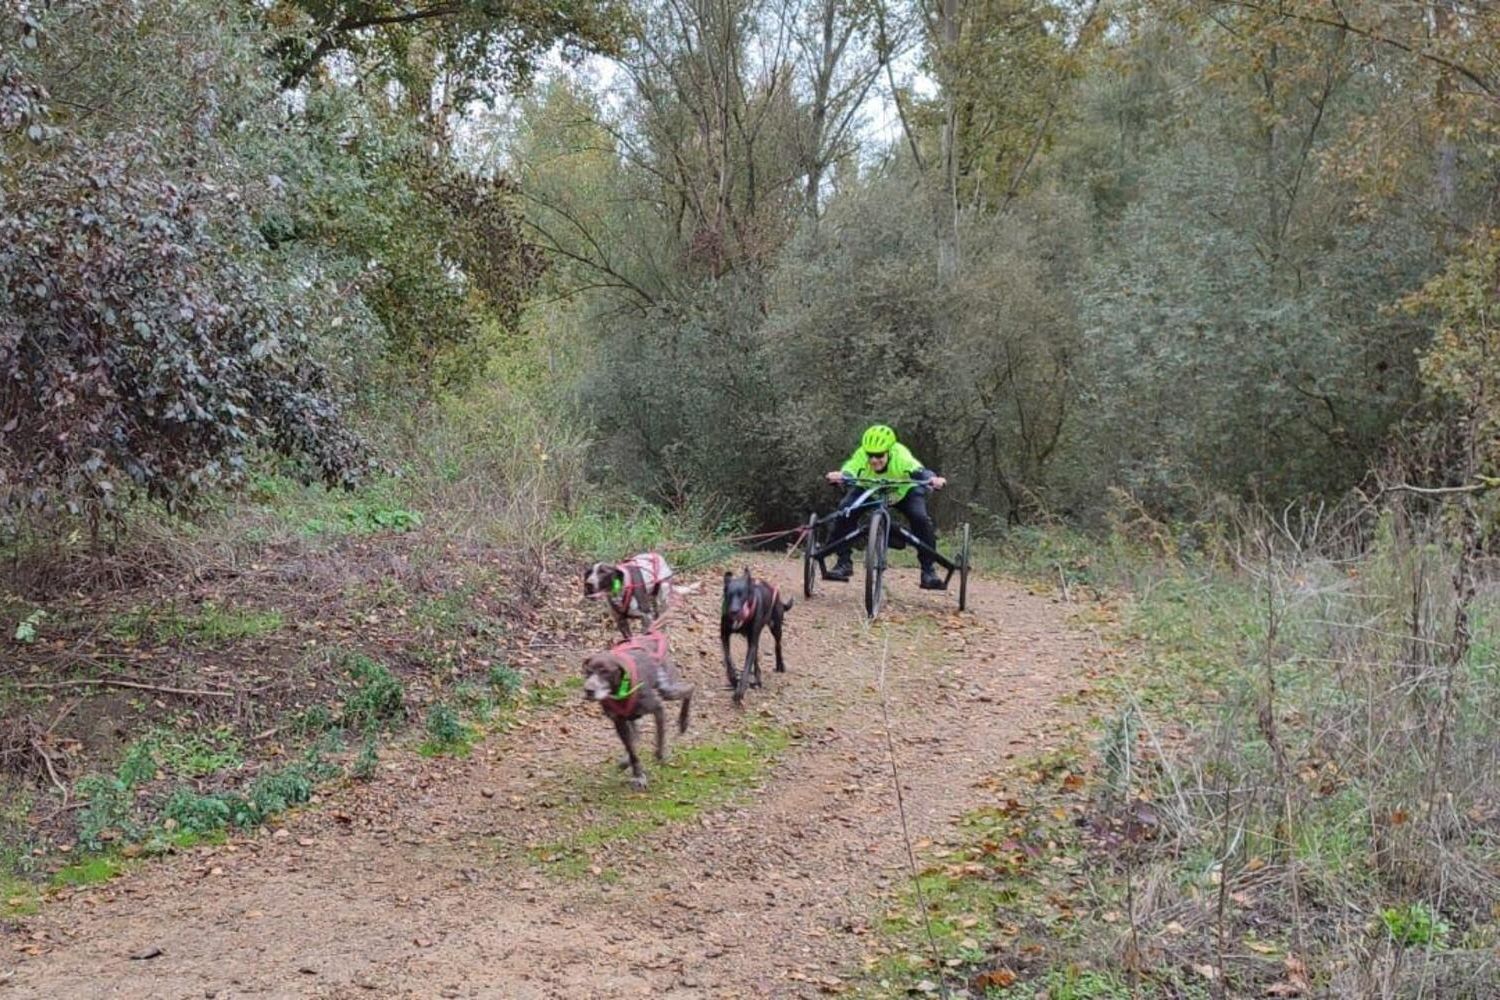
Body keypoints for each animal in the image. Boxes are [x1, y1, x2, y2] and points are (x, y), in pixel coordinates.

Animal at [582, 632, 693, 791]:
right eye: (588, 672)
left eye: (605, 672)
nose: (588, 690)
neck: (620, 692)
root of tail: (650, 636)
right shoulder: (619, 722)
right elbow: (632, 751)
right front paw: (638, 775)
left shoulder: (658, 708)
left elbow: (660, 738)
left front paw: (660, 756)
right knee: (636, 736)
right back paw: (625, 760)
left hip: (667, 690)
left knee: (690, 688)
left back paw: (684, 722)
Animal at [717, 566, 792, 707]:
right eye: (728, 595)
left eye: (742, 595)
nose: (734, 611)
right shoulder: (725, 636)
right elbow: (728, 658)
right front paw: (733, 678)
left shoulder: (752, 641)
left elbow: (746, 667)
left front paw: (740, 691)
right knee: (756, 657)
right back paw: (757, 677)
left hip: (775, 627)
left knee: (777, 645)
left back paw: (780, 665)